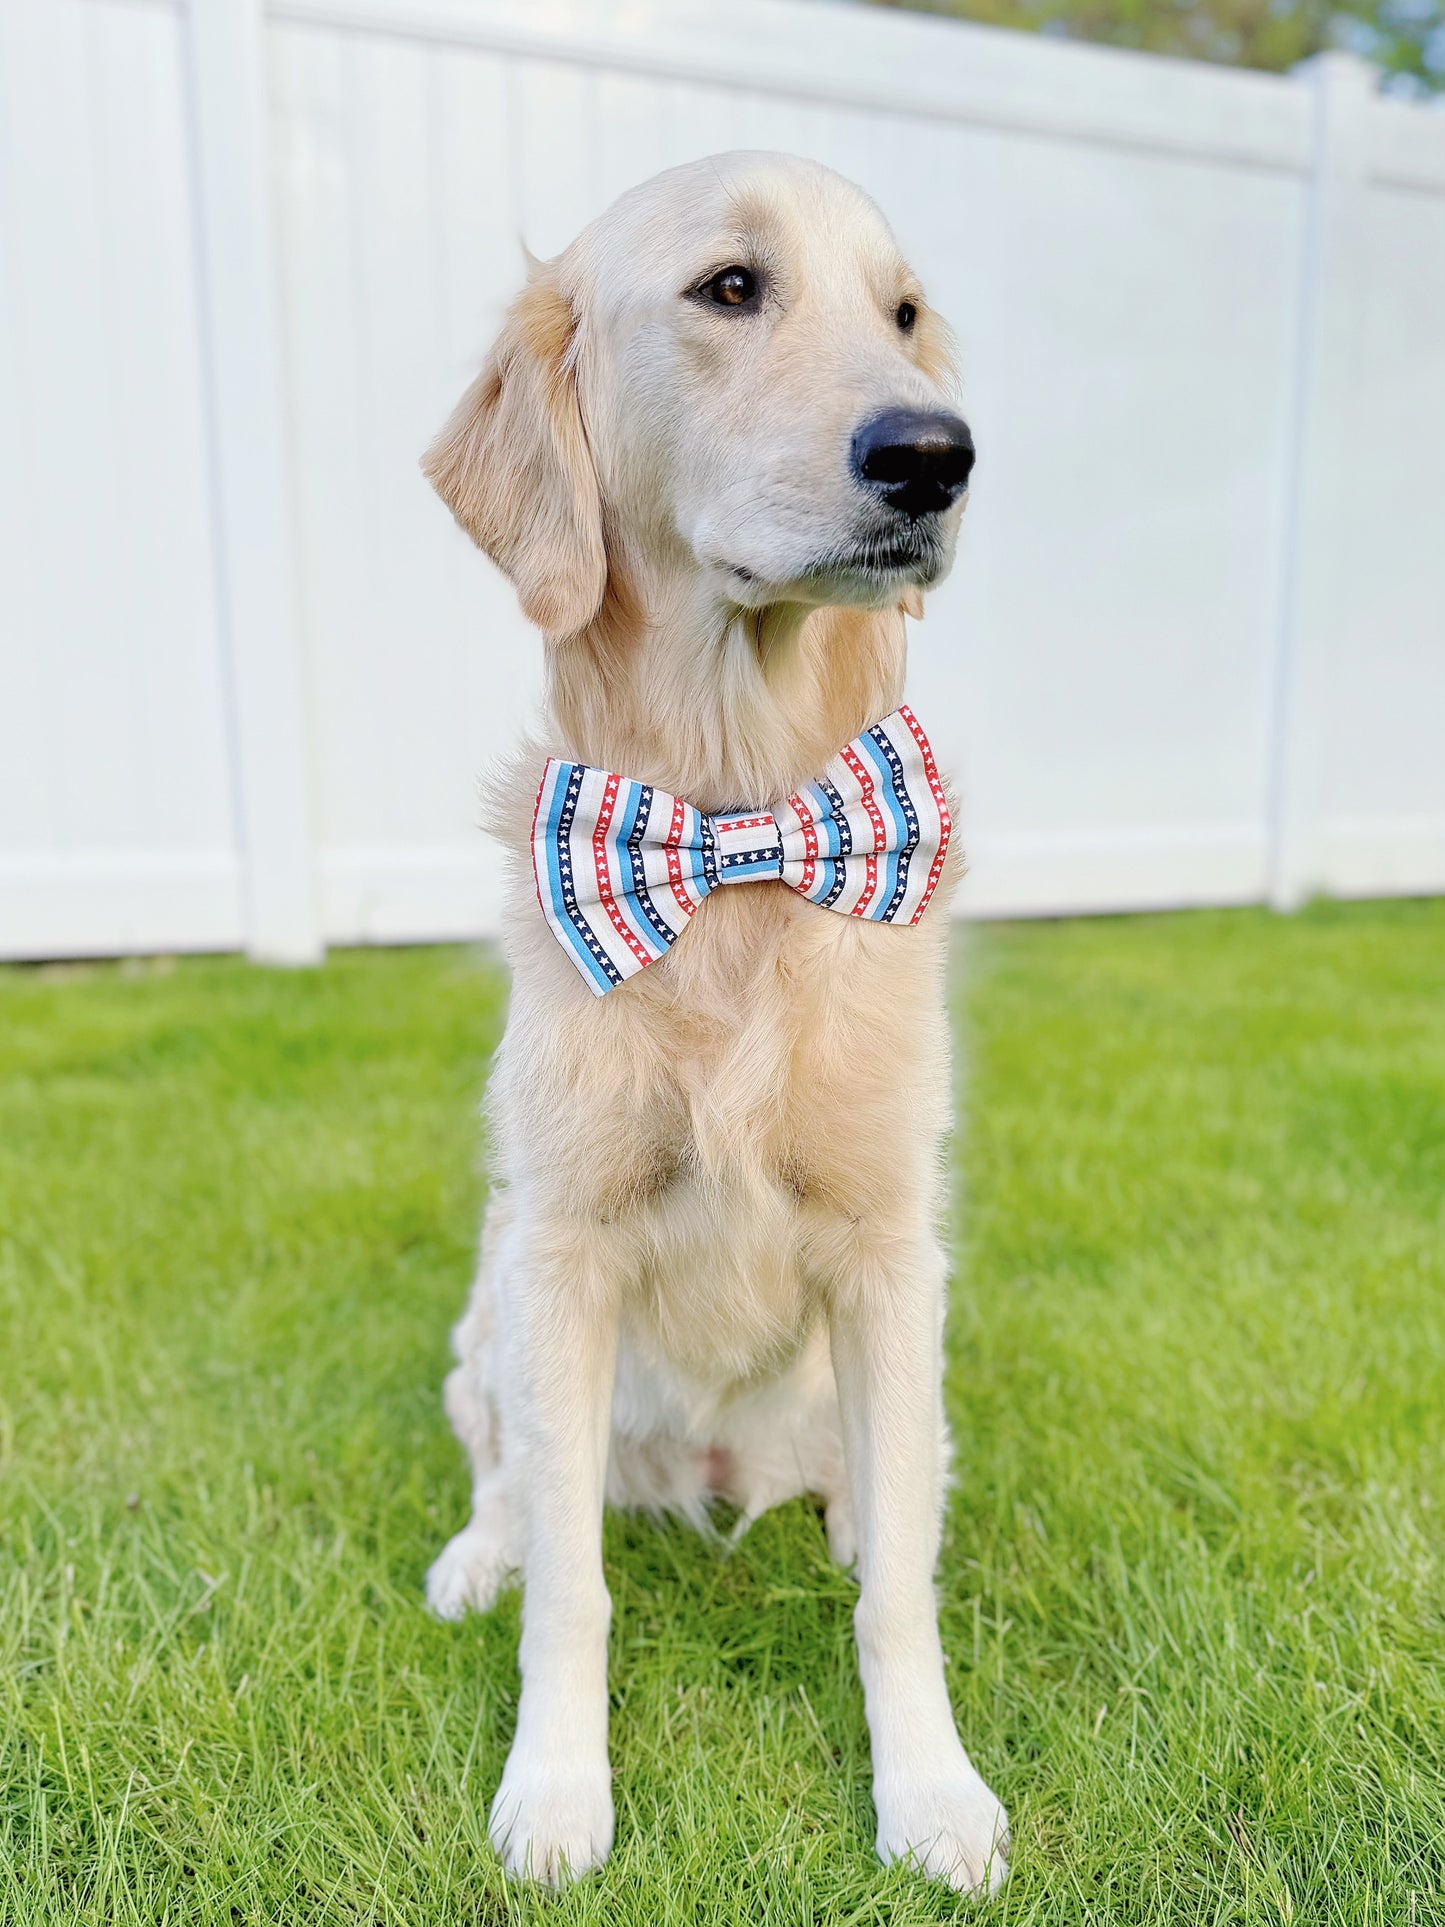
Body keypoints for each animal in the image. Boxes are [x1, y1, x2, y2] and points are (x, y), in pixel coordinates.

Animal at [418, 154, 1009, 1896]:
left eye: (903, 311)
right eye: (730, 288)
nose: (933, 454)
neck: (739, 836)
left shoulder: (889, 1247)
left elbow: (897, 1601)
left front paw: (929, 1792)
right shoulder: (562, 1245)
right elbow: (573, 1589)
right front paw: (554, 1792)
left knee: (888, 1496)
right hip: (491, 1303)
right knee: (512, 1474)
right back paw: (475, 1550)